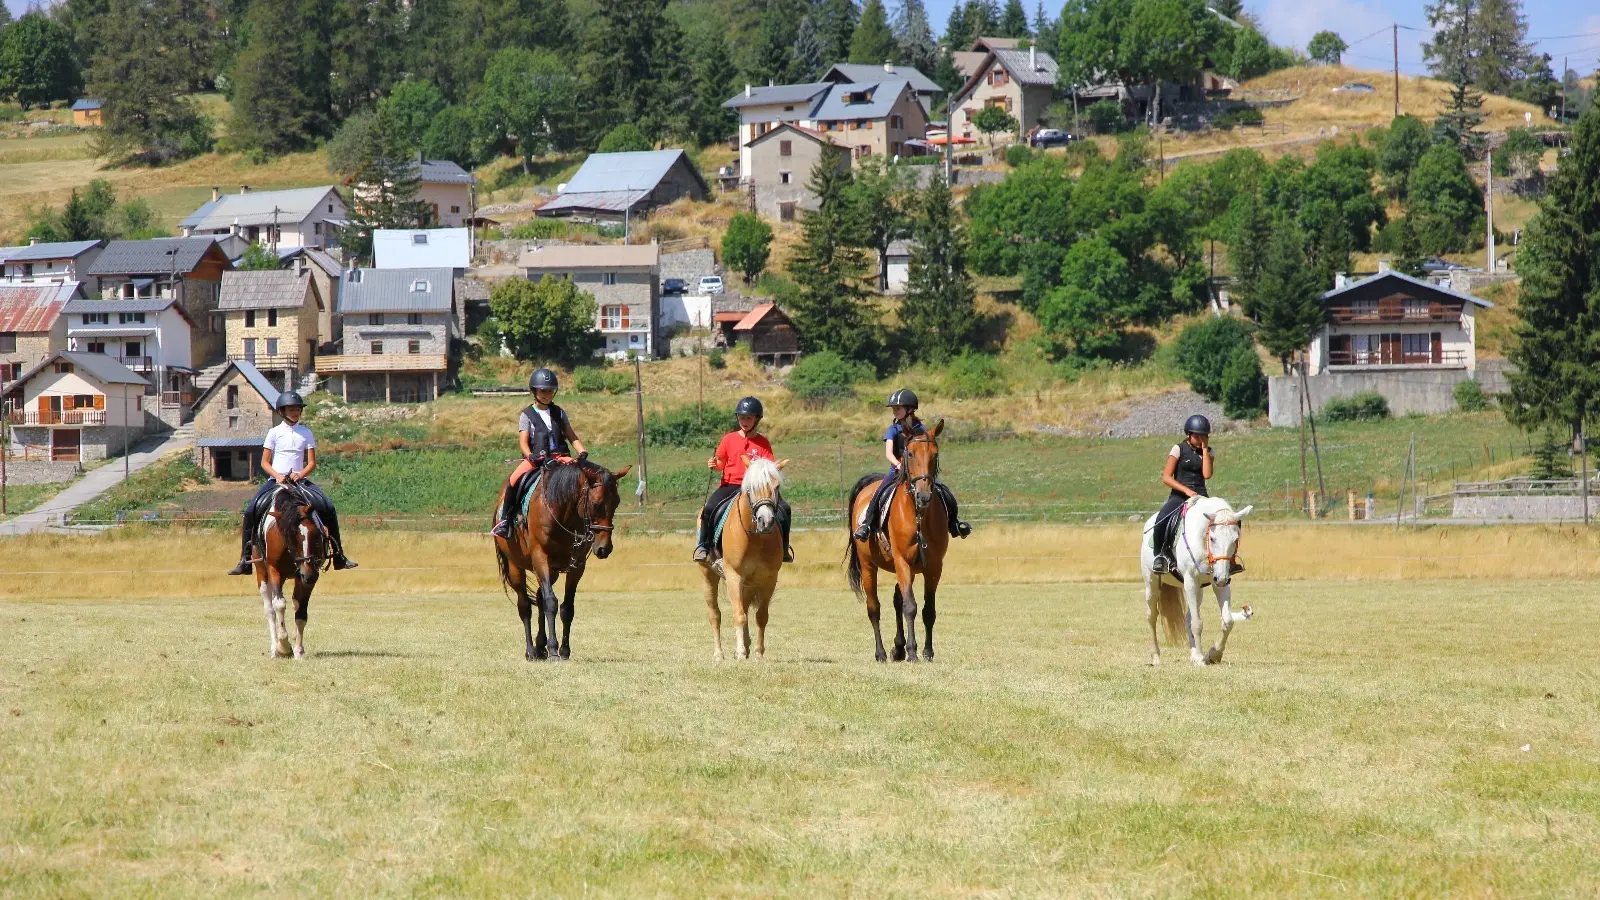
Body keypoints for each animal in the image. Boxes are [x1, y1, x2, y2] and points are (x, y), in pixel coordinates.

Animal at [253, 482, 328, 660]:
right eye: (291, 536)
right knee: (270, 610)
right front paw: (284, 647)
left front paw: (298, 650)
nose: (309, 575)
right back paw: (275, 648)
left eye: (316, 535)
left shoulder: (306, 577)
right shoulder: (274, 571)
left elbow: (301, 612)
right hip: (262, 574)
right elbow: (279, 605)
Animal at [493, 458, 630, 661]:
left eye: (617, 503)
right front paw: (553, 650)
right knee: (525, 605)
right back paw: (531, 650)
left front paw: (564, 650)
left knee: (540, 598)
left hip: (552, 571)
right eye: (596, 504)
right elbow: (551, 603)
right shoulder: (541, 558)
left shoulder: (577, 566)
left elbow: (567, 608)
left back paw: (540, 646)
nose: (604, 548)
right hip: (516, 567)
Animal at [698, 457, 786, 660]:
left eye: (776, 486)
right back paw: (719, 654)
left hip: (748, 583)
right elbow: (738, 615)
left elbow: (761, 616)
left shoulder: (769, 579)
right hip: (708, 576)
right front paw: (739, 652)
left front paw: (758, 653)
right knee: (715, 615)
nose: (766, 521)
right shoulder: (734, 576)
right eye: (751, 488)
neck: (755, 537)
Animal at [845, 419, 949, 662]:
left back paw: (897, 648)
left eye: (935, 454)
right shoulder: (903, 562)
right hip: (868, 566)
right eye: (909, 453)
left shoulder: (934, 567)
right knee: (874, 608)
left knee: (896, 600)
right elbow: (910, 606)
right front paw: (912, 652)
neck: (918, 516)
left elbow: (928, 610)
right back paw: (882, 653)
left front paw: (927, 652)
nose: (923, 495)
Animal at [1140, 495, 1255, 667]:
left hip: (1199, 589)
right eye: (1212, 538)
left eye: (1236, 539)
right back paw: (1156, 656)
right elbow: (1197, 623)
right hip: (1152, 583)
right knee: (1152, 616)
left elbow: (1228, 621)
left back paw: (1194, 655)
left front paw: (1214, 654)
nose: (1221, 578)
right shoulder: (1191, 581)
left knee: (1188, 618)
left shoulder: (1220, 582)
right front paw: (1202, 659)